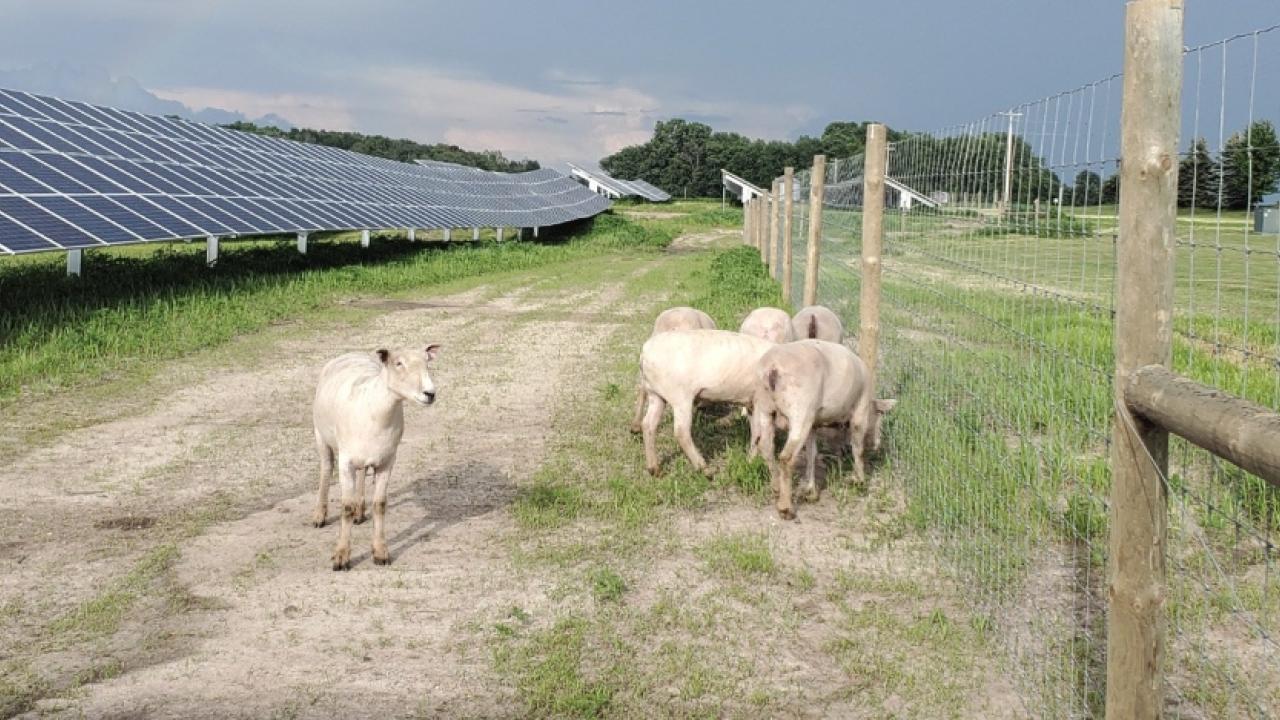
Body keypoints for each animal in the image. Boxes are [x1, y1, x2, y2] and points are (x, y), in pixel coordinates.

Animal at [311, 345, 441, 570]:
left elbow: (380, 505)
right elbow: (345, 507)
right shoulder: (345, 461)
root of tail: (350, 353)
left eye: (427, 363)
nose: (430, 393)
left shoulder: (388, 461)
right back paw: (320, 515)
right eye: (398, 363)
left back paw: (359, 511)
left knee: (362, 472)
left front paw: (380, 552)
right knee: (326, 470)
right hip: (321, 435)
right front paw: (341, 556)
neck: (377, 411)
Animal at [638, 329, 775, 476]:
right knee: (681, 432)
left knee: (648, 424)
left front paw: (750, 461)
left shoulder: (752, 402)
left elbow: (756, 433)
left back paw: (654, 470)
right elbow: (761, 434)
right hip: (680, 396)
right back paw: (706, 469)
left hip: (655, 394)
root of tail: (644, 354)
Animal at [751, 340, 895, 519]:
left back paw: (776, 487)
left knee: (766, 448)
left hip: (765, 408)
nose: (877, 444)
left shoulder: (813, 423)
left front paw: (810, 491)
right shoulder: (859, 413)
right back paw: (786, 507)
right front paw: (859, 481)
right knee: (786, 458)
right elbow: (858, 449)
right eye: (880, 415)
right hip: (800, 411)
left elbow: (812, 453)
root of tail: (773, 367)